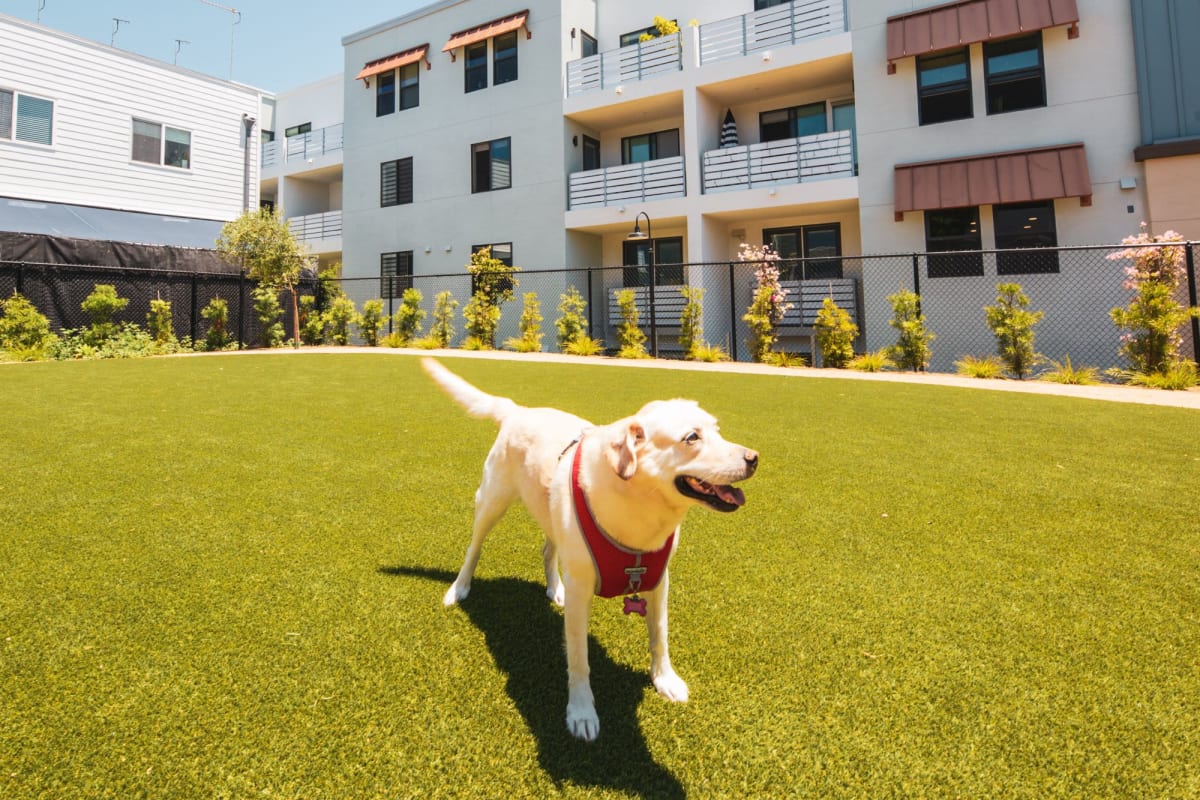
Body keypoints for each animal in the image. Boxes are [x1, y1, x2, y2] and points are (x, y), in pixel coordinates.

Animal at [424, 359, 758, 743]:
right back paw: (459, 589)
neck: (640, 512)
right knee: (473, 548)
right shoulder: (582, 591)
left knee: (548, 549)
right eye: (692, 437)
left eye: (717, 431)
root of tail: (518, 410)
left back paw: (555, 589)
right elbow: (579, 659)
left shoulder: (660, 580)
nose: (754, 458)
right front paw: (582, 712)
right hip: (491, 501)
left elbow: (660, 636)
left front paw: (665, 680)